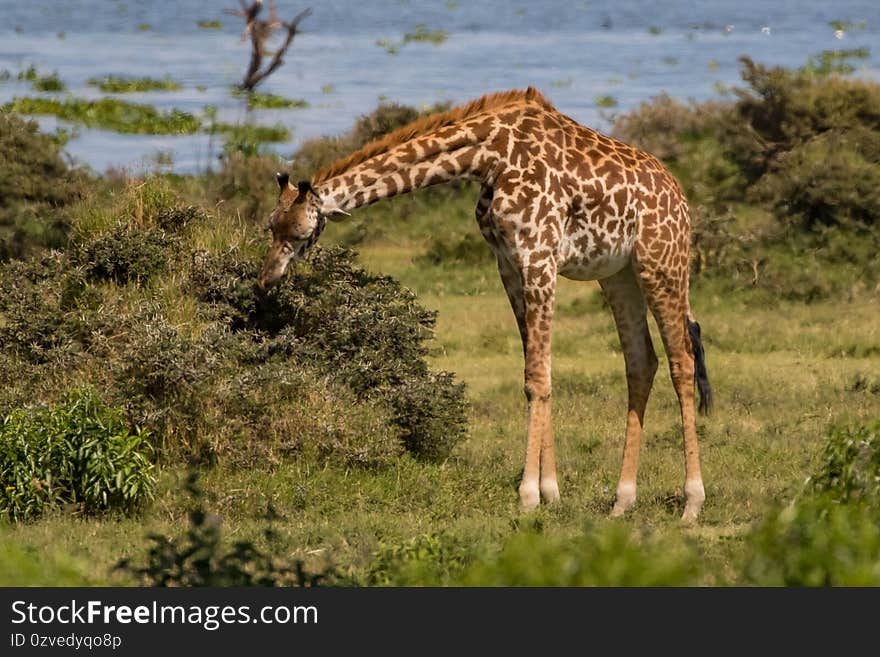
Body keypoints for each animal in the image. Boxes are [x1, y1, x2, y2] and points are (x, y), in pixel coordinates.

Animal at [258, 86, 712, 516]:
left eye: (300, 233)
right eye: (270, 225)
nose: (266, 279)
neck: (490, 155)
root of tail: (682, 199)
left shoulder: (539, 256)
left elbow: (538, 377)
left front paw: (529, 496)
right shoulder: (508, 263)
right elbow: (537, 374)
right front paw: (551, 492)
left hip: (661, 264)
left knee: (682, 361)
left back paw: (692, 502)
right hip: (618, 274)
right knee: (641, 363)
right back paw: (622, 501)